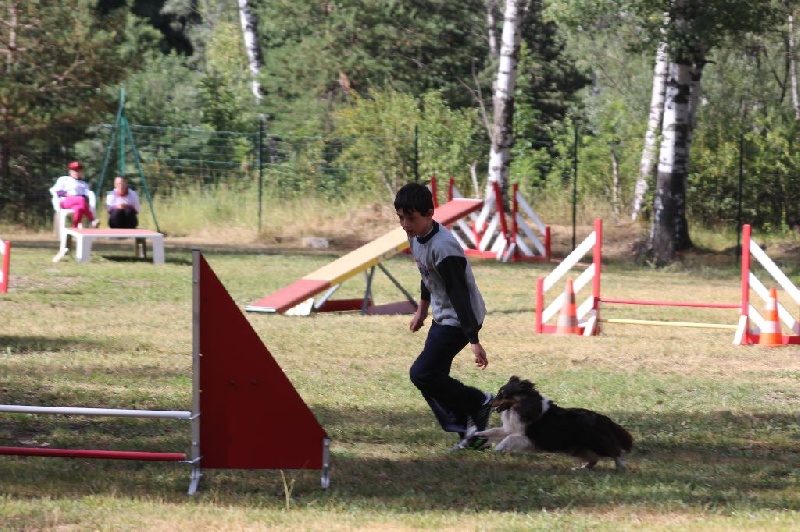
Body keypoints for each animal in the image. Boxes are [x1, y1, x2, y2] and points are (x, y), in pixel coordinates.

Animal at [476, 374, 636, 470]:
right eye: (499, 393)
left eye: (503, 394)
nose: (489, 404)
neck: (524, 406)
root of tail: (604, 419)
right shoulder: (510, 428)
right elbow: (494, 431)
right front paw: (479, 434)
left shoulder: (529, 438)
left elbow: (509, 439)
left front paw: (498, 448)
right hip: (577, 448)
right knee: (594, 459)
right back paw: (581, 468)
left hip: (597, 443)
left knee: (614, 451)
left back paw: (621, 466)